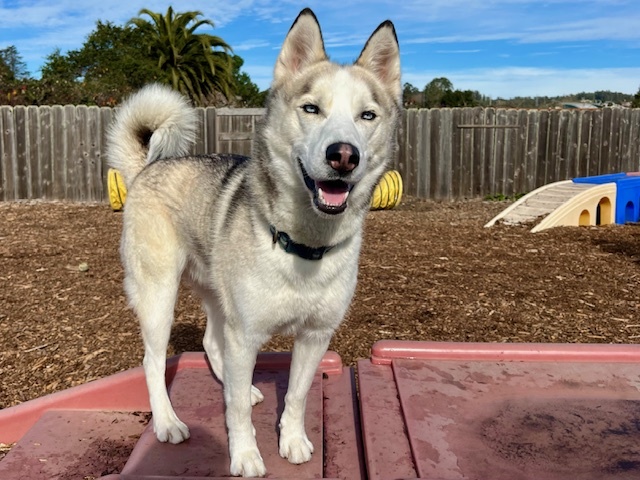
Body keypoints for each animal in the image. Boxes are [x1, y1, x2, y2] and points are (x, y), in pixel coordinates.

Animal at [109, 7, 400, 476]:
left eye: (367, 116)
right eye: (311, 108)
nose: (344, 155)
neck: (303, 245)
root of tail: (145, 170)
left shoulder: (315, 336)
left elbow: (297, 395)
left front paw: (292, 439)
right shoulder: (245, 335)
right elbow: (238, 414)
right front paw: (245, 454)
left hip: (215, 294)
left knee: (212, 344)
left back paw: (238, 387)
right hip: (159, 296)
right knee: (153, 361)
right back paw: (168, 421)